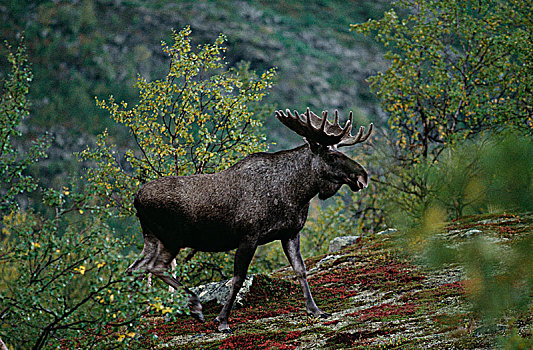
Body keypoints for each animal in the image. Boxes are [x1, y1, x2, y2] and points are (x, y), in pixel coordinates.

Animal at [127, 108, 372, 332]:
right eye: (331, 156)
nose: (363, 176)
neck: (298, 193)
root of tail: (136, 198)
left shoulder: (290, 233)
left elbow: (300, 270)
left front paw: (316, 310)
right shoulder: (249, 236)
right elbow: (238, 279)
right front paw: (223, 321)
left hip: (151, 237)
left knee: (135, 268)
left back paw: (132, 320)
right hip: (172, 237)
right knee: (155, 266)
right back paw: (194, 305)